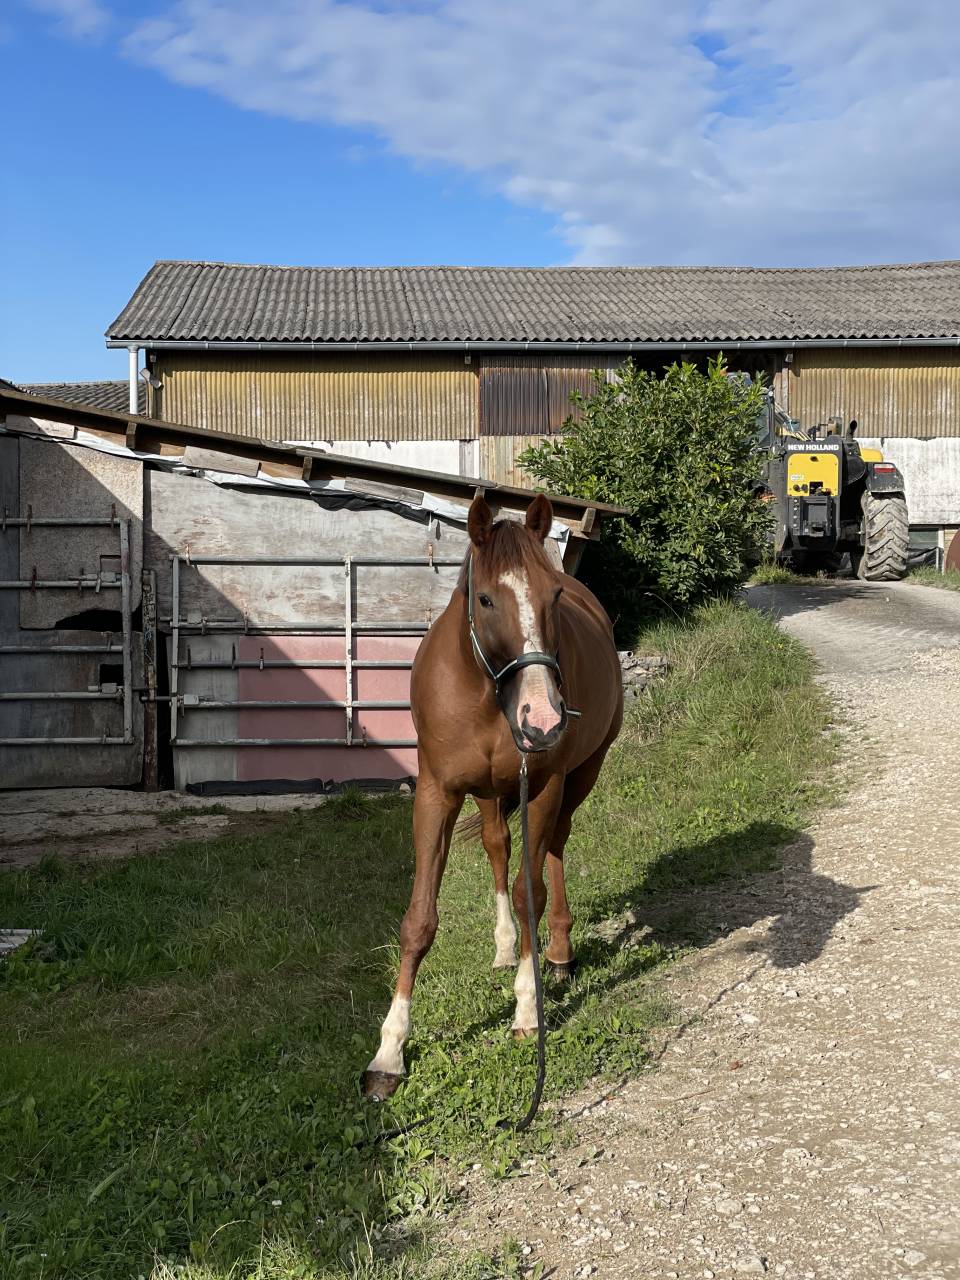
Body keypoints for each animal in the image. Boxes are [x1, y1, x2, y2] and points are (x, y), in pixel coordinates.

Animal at [363, 492, 624, 1101]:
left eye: (553, 595)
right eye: (485, 598)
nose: (543, 719)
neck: (485, 692)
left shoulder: (544, 785)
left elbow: (532, 891)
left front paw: (528, 1011)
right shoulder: (437, 794)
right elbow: (419, 920)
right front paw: (389, 1052)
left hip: (581, 777)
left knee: (553, 850)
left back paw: (556, 954)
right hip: (487, 794)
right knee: (497, 845)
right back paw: (507, 947)